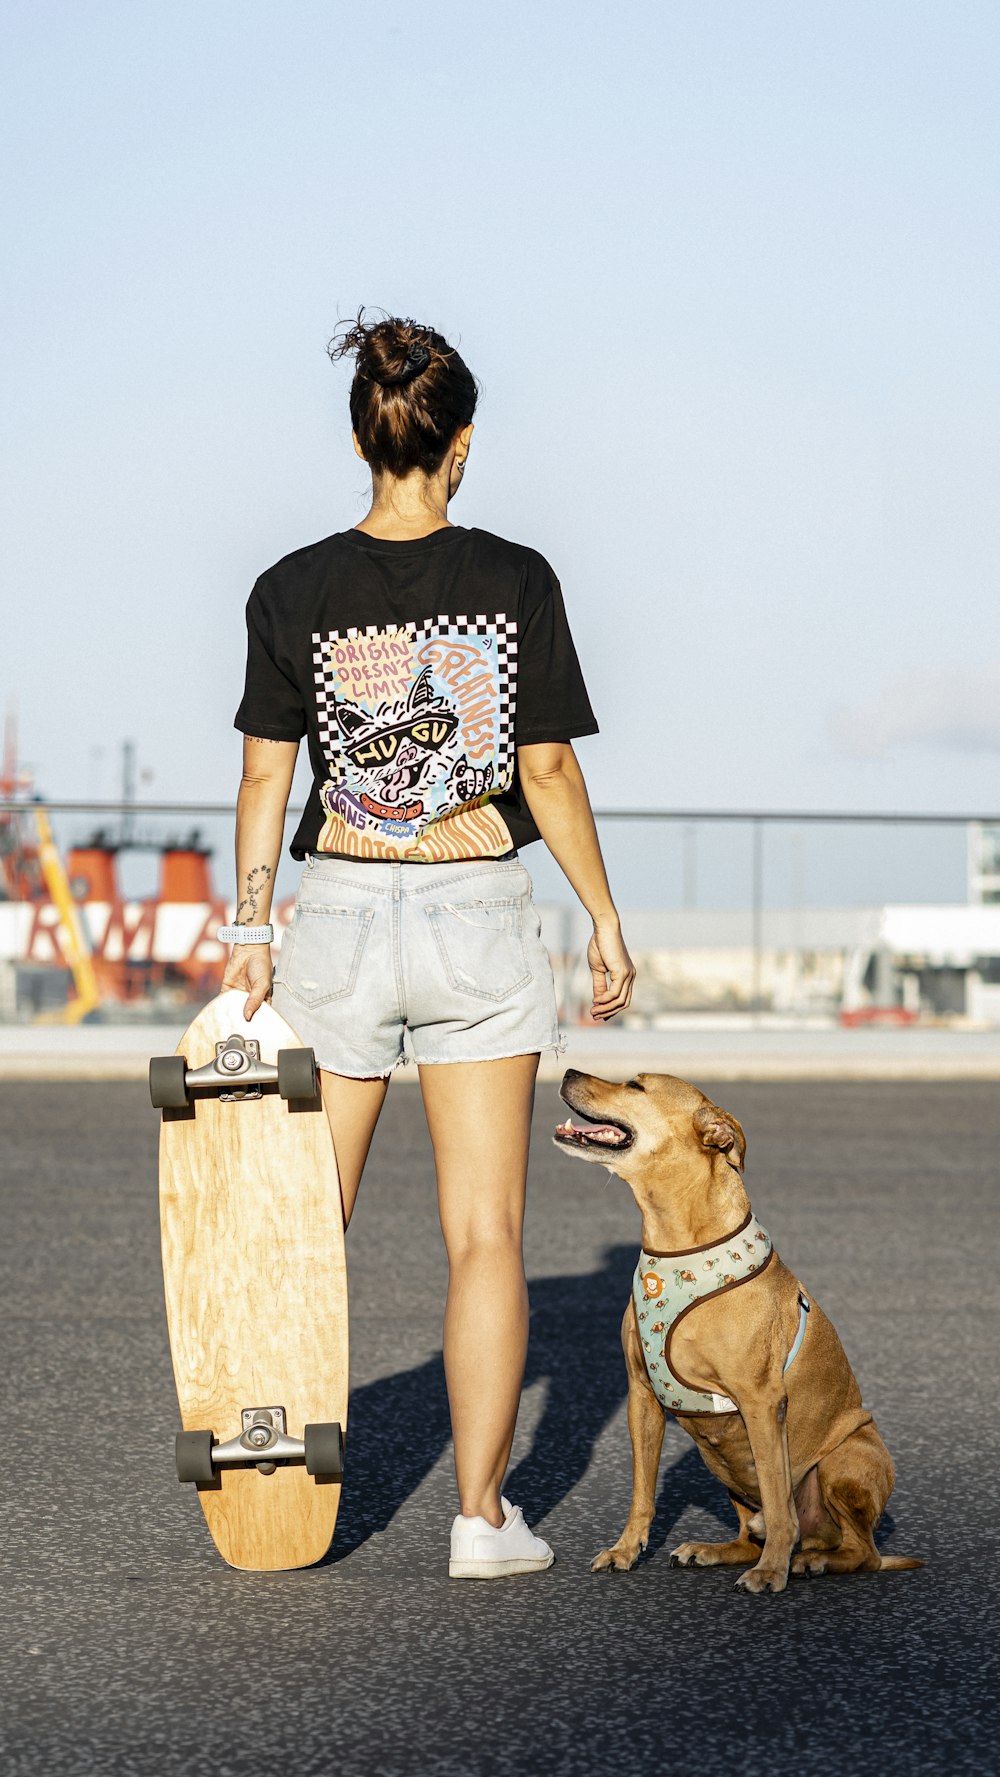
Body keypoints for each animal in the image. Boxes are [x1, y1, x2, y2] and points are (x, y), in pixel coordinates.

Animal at [554, 1066, 923, 1599]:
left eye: (636, 1086)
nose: (567, 1070)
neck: (675, 1244)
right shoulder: (641, 1397)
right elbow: (643, 1491)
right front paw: (626, 1550)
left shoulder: (760, 1402)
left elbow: (777, 1495)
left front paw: (772, 1572)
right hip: (717, 1464)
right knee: (754, 1532)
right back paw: (714, 1550)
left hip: (845, 1459)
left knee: (859, 1551)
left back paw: (810, 1561)